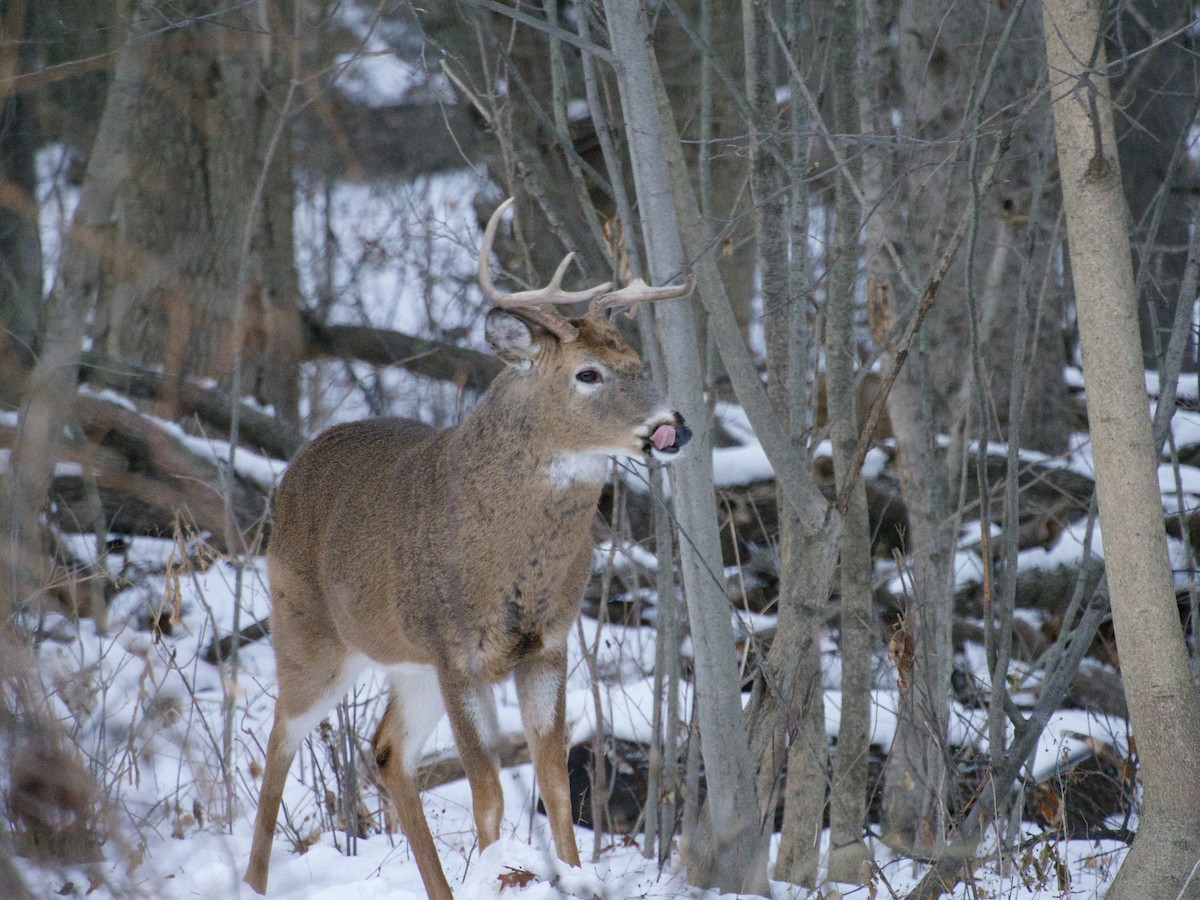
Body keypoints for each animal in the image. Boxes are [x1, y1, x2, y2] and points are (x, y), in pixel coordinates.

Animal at [243, 198, 694, 898]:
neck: (510, 558)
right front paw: (499, 871)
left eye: (639, 366)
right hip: (309, 630)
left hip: (408, 662)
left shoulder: (548, 644)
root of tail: (297, 464)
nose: (673, 427)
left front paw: (568, 874)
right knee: (281, 737)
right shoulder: (456, 650)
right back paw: (254, 883)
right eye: (587, 373)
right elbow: (488, 795)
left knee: (387, 749)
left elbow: (555, 785)